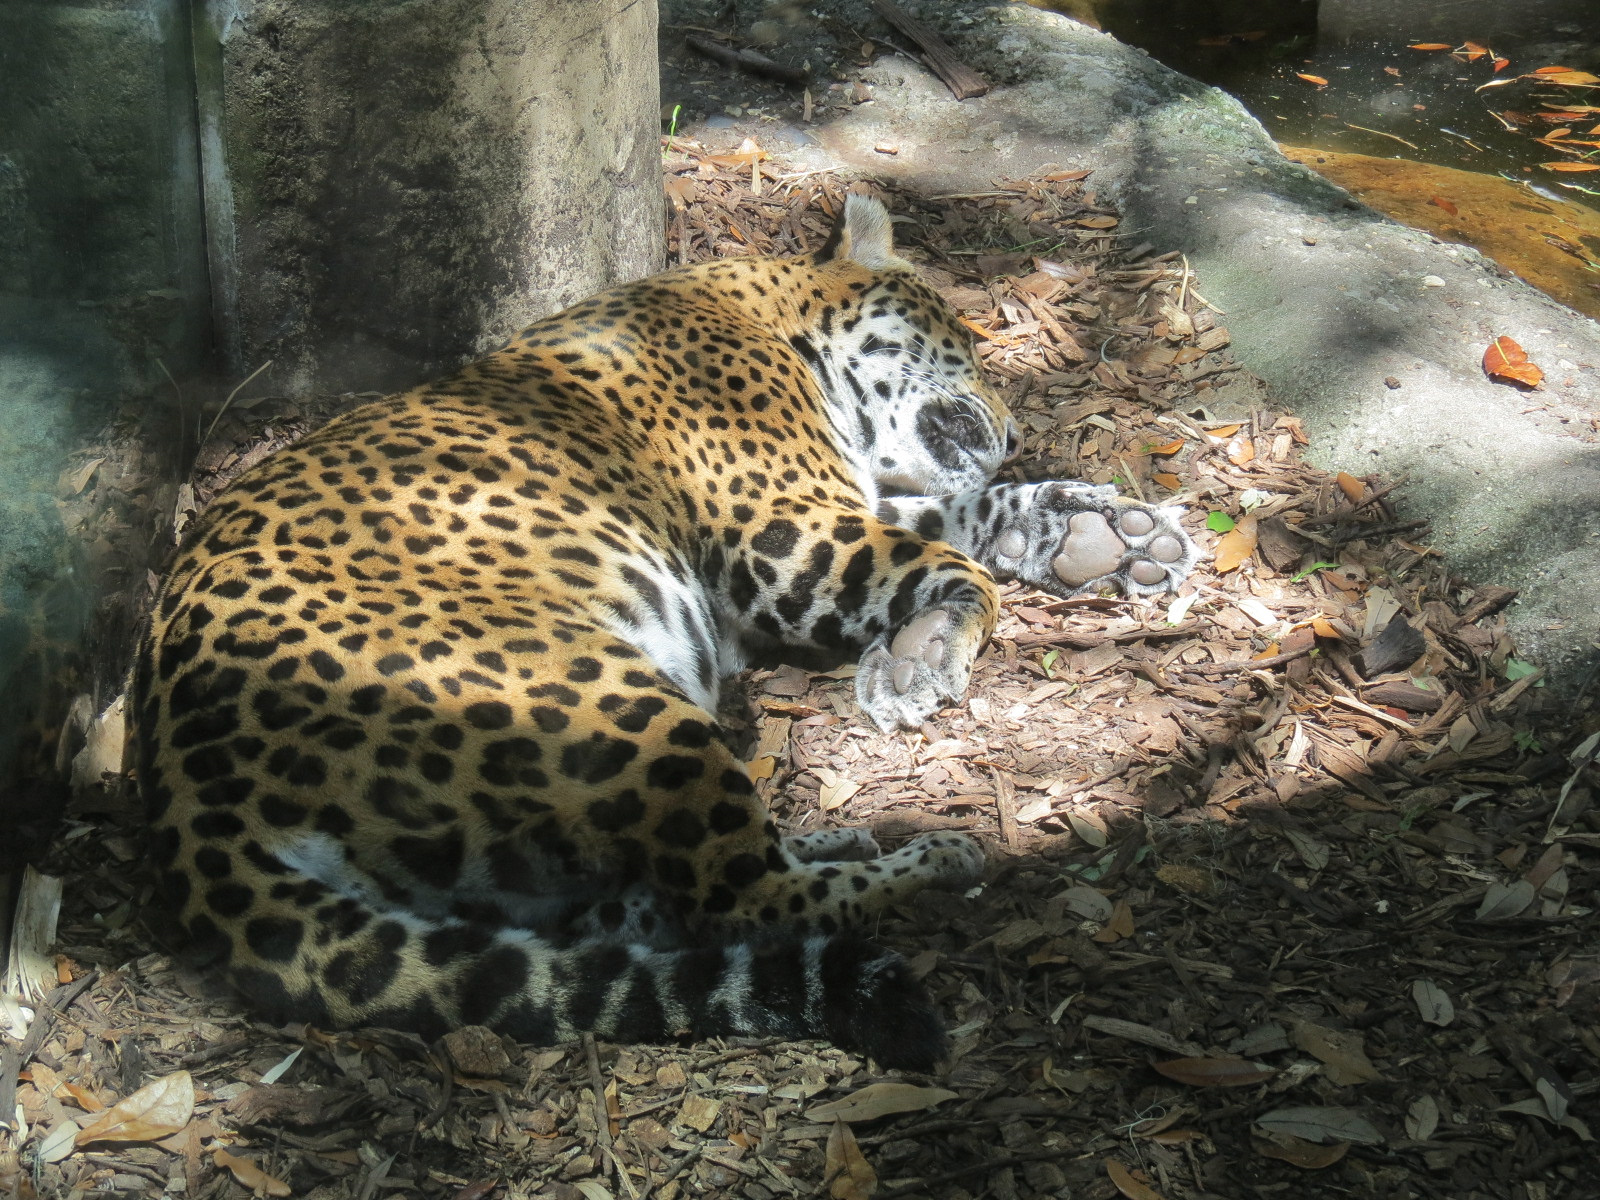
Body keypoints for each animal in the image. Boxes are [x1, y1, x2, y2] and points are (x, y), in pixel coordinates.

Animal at [131, 195, 1197, 1071]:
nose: (1015, 429)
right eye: (965, 339)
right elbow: (946, 559)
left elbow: (964, 516)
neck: (767, 314)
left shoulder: (837, 504)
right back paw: (931, 857)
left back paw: (848, 831)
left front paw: (1106, 536)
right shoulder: (782, 527)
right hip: (609, 699)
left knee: (649, 907)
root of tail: (188, 793)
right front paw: (921, 658)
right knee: (744, 900)